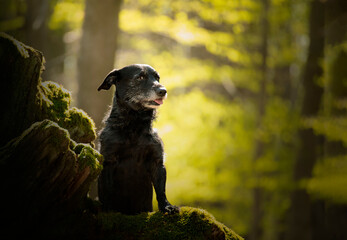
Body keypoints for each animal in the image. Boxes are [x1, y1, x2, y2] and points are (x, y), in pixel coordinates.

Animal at [98, 64, 179, 215]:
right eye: (140, 77)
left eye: (157, 77)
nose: (163, 91)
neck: (134, 125)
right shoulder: (108, 161)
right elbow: (107, 190)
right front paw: (107, 210)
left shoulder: (157, 162)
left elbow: (161, 190)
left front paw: (166, 206)